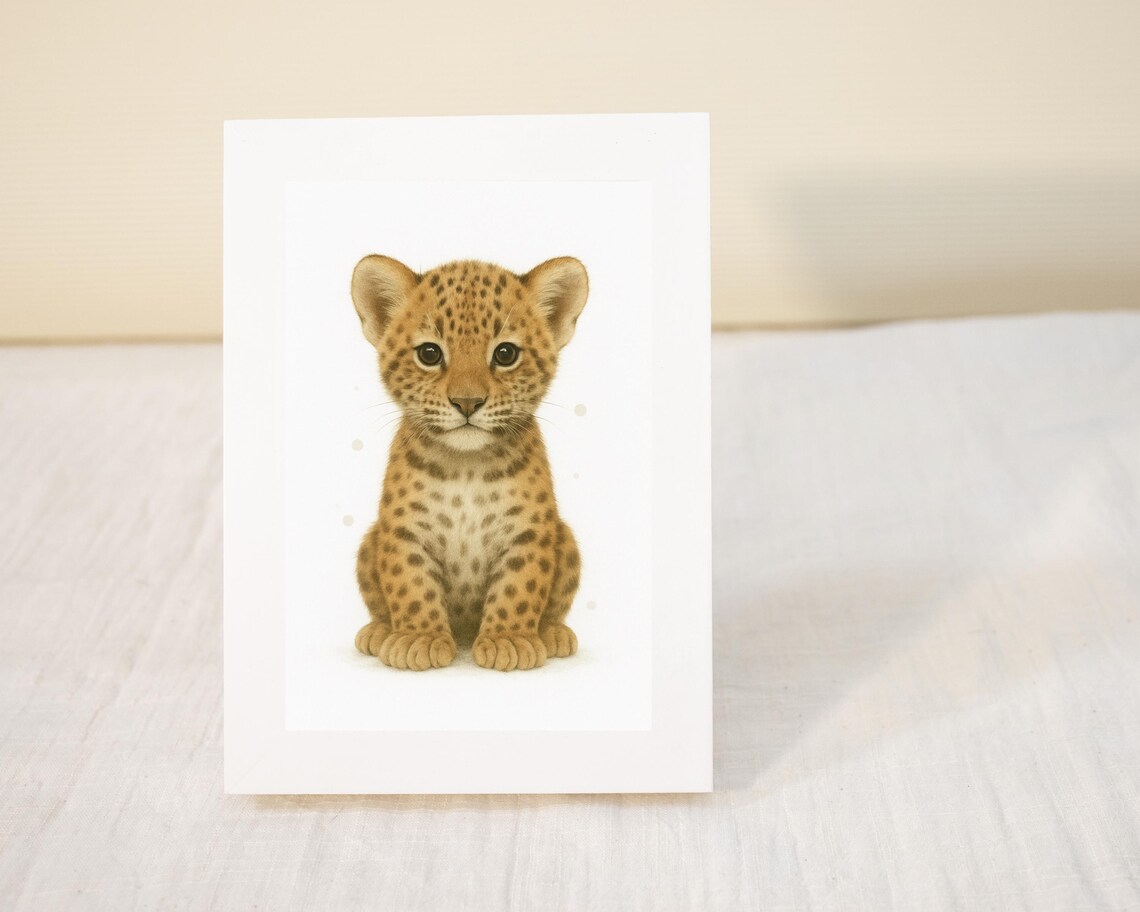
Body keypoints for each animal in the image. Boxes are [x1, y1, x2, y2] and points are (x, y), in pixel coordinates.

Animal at [350, 254, 588, 671]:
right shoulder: (404, 530)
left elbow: (519, 587)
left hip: (566, 538)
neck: (466, 466)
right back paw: (378, 632)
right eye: (429, 354)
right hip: (370, 541)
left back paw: (553, 634)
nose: (467, 402)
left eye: (505, 354)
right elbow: (410, 584)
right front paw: (419, 638)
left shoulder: (528, 532)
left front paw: (509, 639)